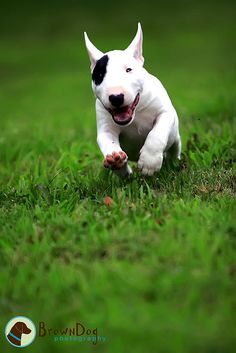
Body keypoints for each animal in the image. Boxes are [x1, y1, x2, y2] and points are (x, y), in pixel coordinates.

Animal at [84, 23, 182, 176]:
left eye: (128, 70)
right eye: (100, 75)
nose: (116, 97)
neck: (136, 112)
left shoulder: (165, 112)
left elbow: (157, 133)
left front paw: (149, 162)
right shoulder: (106, 127)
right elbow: (107, 140)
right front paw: (114, 158)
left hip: (175, 139)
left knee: (174, 150)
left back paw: (173, 163)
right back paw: (121, 169)